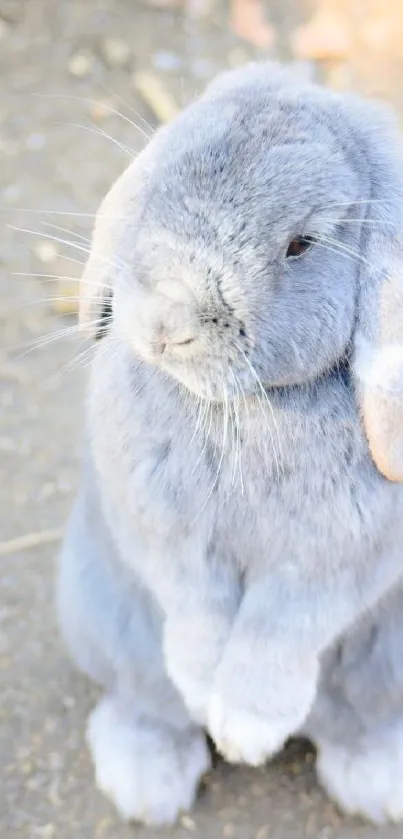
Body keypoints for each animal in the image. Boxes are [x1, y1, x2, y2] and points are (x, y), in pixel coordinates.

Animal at [56, 64, 403, 828]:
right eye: (159, 182)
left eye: (300, 245)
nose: (166, 322)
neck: (244, 407)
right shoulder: (166, 533)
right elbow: (196, 607)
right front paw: (203, 691)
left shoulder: (333, 564)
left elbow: (280, 627)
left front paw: (245, 731)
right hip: (101, 615)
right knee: (145, 703)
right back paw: (146, 784)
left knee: (355, 724)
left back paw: (376, 781)